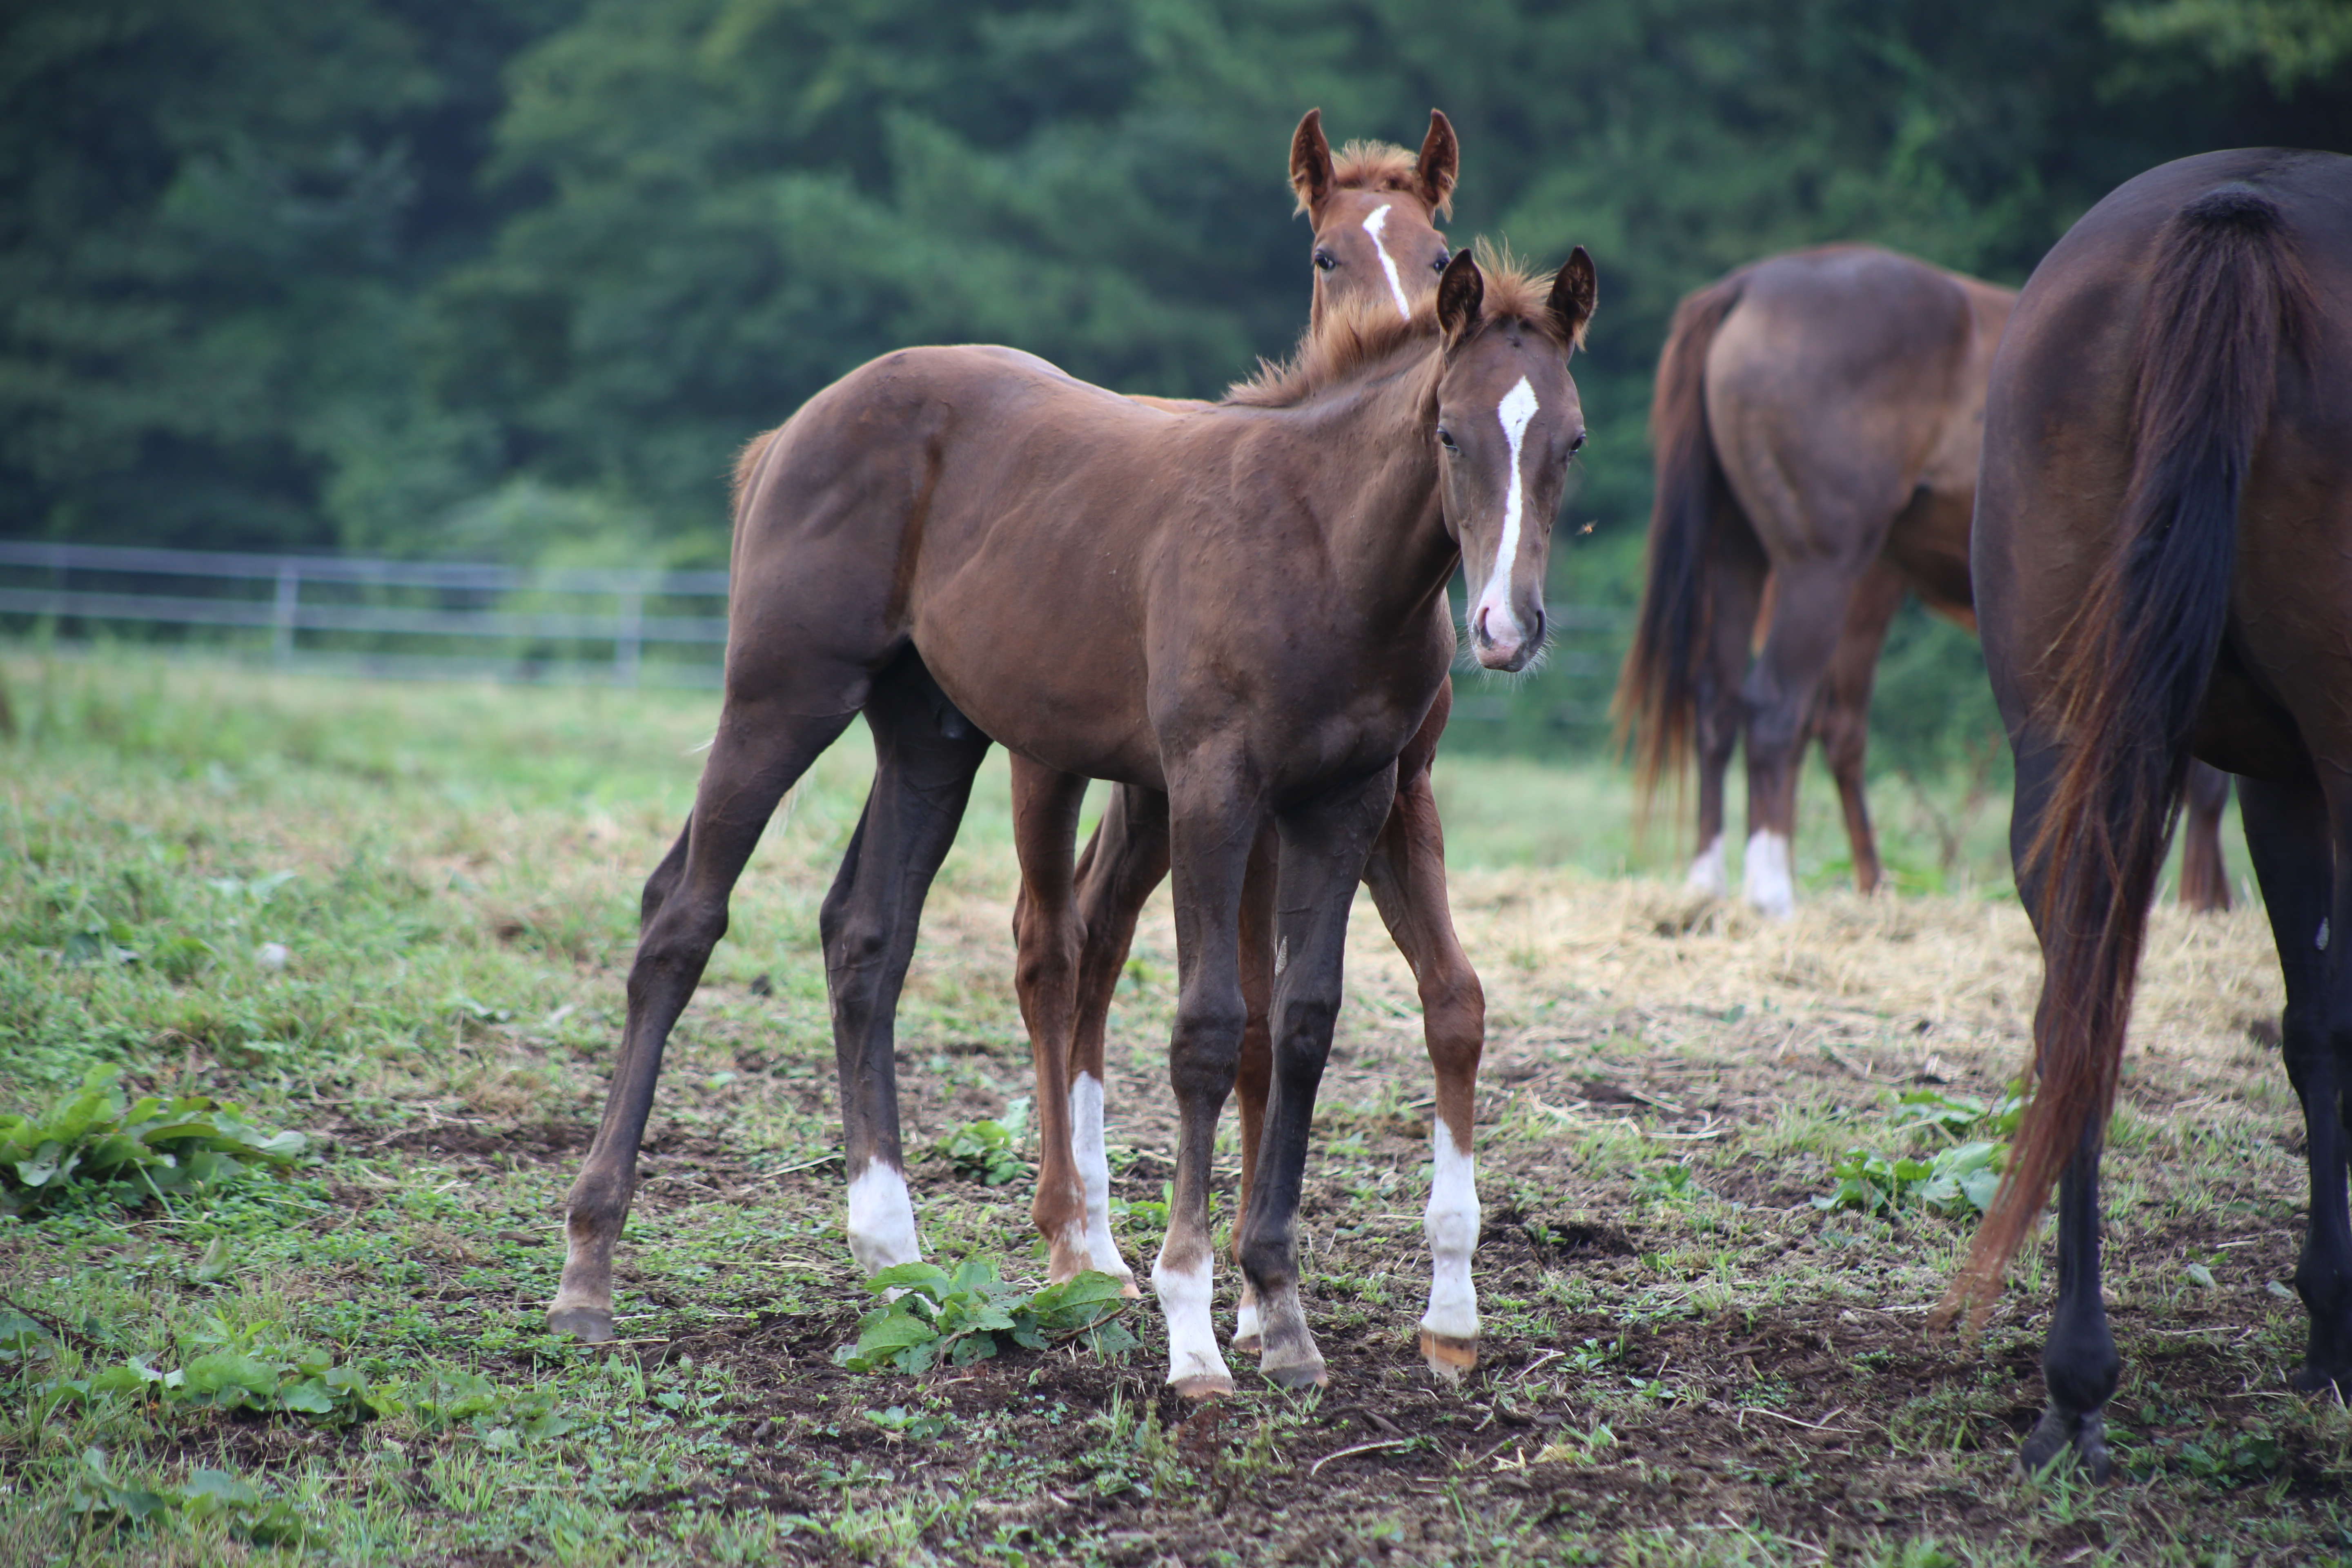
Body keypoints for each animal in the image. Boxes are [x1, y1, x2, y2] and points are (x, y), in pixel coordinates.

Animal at [1618, 240, 2239, 912]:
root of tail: (1750, 284)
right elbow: (2207, 781)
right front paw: (2205, 904)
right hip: (1823, 569)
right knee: (1777, 710)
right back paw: (1773, 891)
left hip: (1742, 555)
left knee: (1721, 704)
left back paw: (1711, 884)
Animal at [1947, 144, 2352, 1476]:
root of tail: (2234, 215)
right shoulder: (2310, 769)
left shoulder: (2277, 778)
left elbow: (2313, 1025)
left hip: (2066, 734)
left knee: (2078, 993)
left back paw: (2075, 1379)